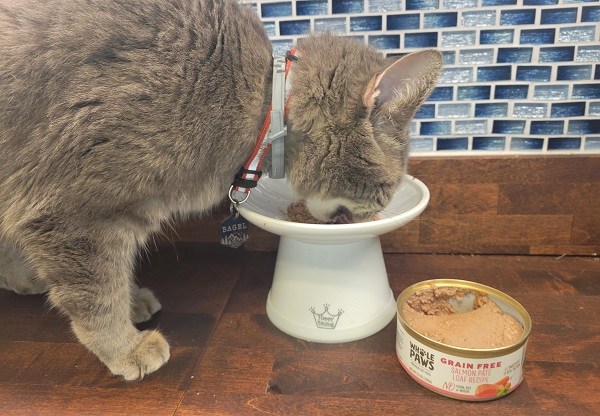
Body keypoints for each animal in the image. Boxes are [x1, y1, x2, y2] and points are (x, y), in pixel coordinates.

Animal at [0, 0, 440, 378]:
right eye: (384, 191)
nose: (380, 210)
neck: (265, 104)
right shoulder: (72, 212)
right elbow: (98, 294)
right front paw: (125, 346)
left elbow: (112, 278)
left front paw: (132, 300)